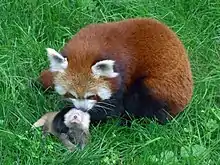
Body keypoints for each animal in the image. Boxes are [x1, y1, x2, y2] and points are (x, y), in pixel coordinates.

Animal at [40, 17, 193, 124]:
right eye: (71, 94)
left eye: (92, 96)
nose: (82, 109)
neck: (86, 51)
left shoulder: (122, 74)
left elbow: (112, 107)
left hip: (159, 89)